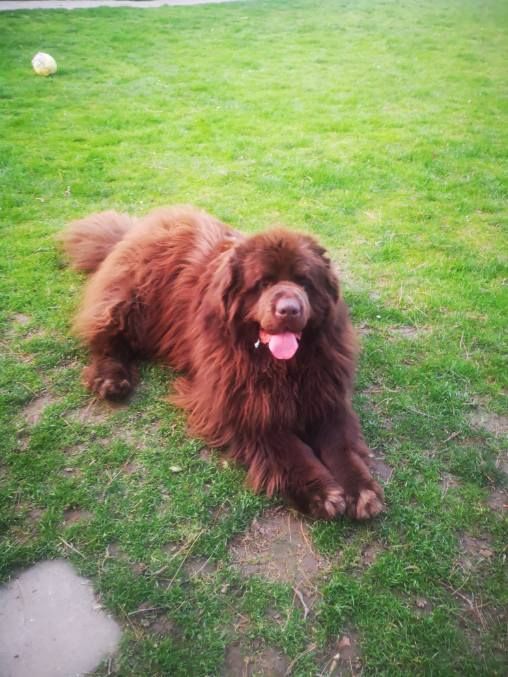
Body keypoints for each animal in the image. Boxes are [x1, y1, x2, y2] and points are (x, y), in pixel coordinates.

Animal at [61, 205, 382, 516]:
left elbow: (341, 444)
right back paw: (111, 378)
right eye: (263, 283)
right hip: (133, 299)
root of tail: (144, 223)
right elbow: (286, 446)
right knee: (108, 336)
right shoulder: (235, 403)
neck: (283, 367)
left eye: (305, 283)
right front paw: (320, 491)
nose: (289, 309)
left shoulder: (326, 391)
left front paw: (361, 489)